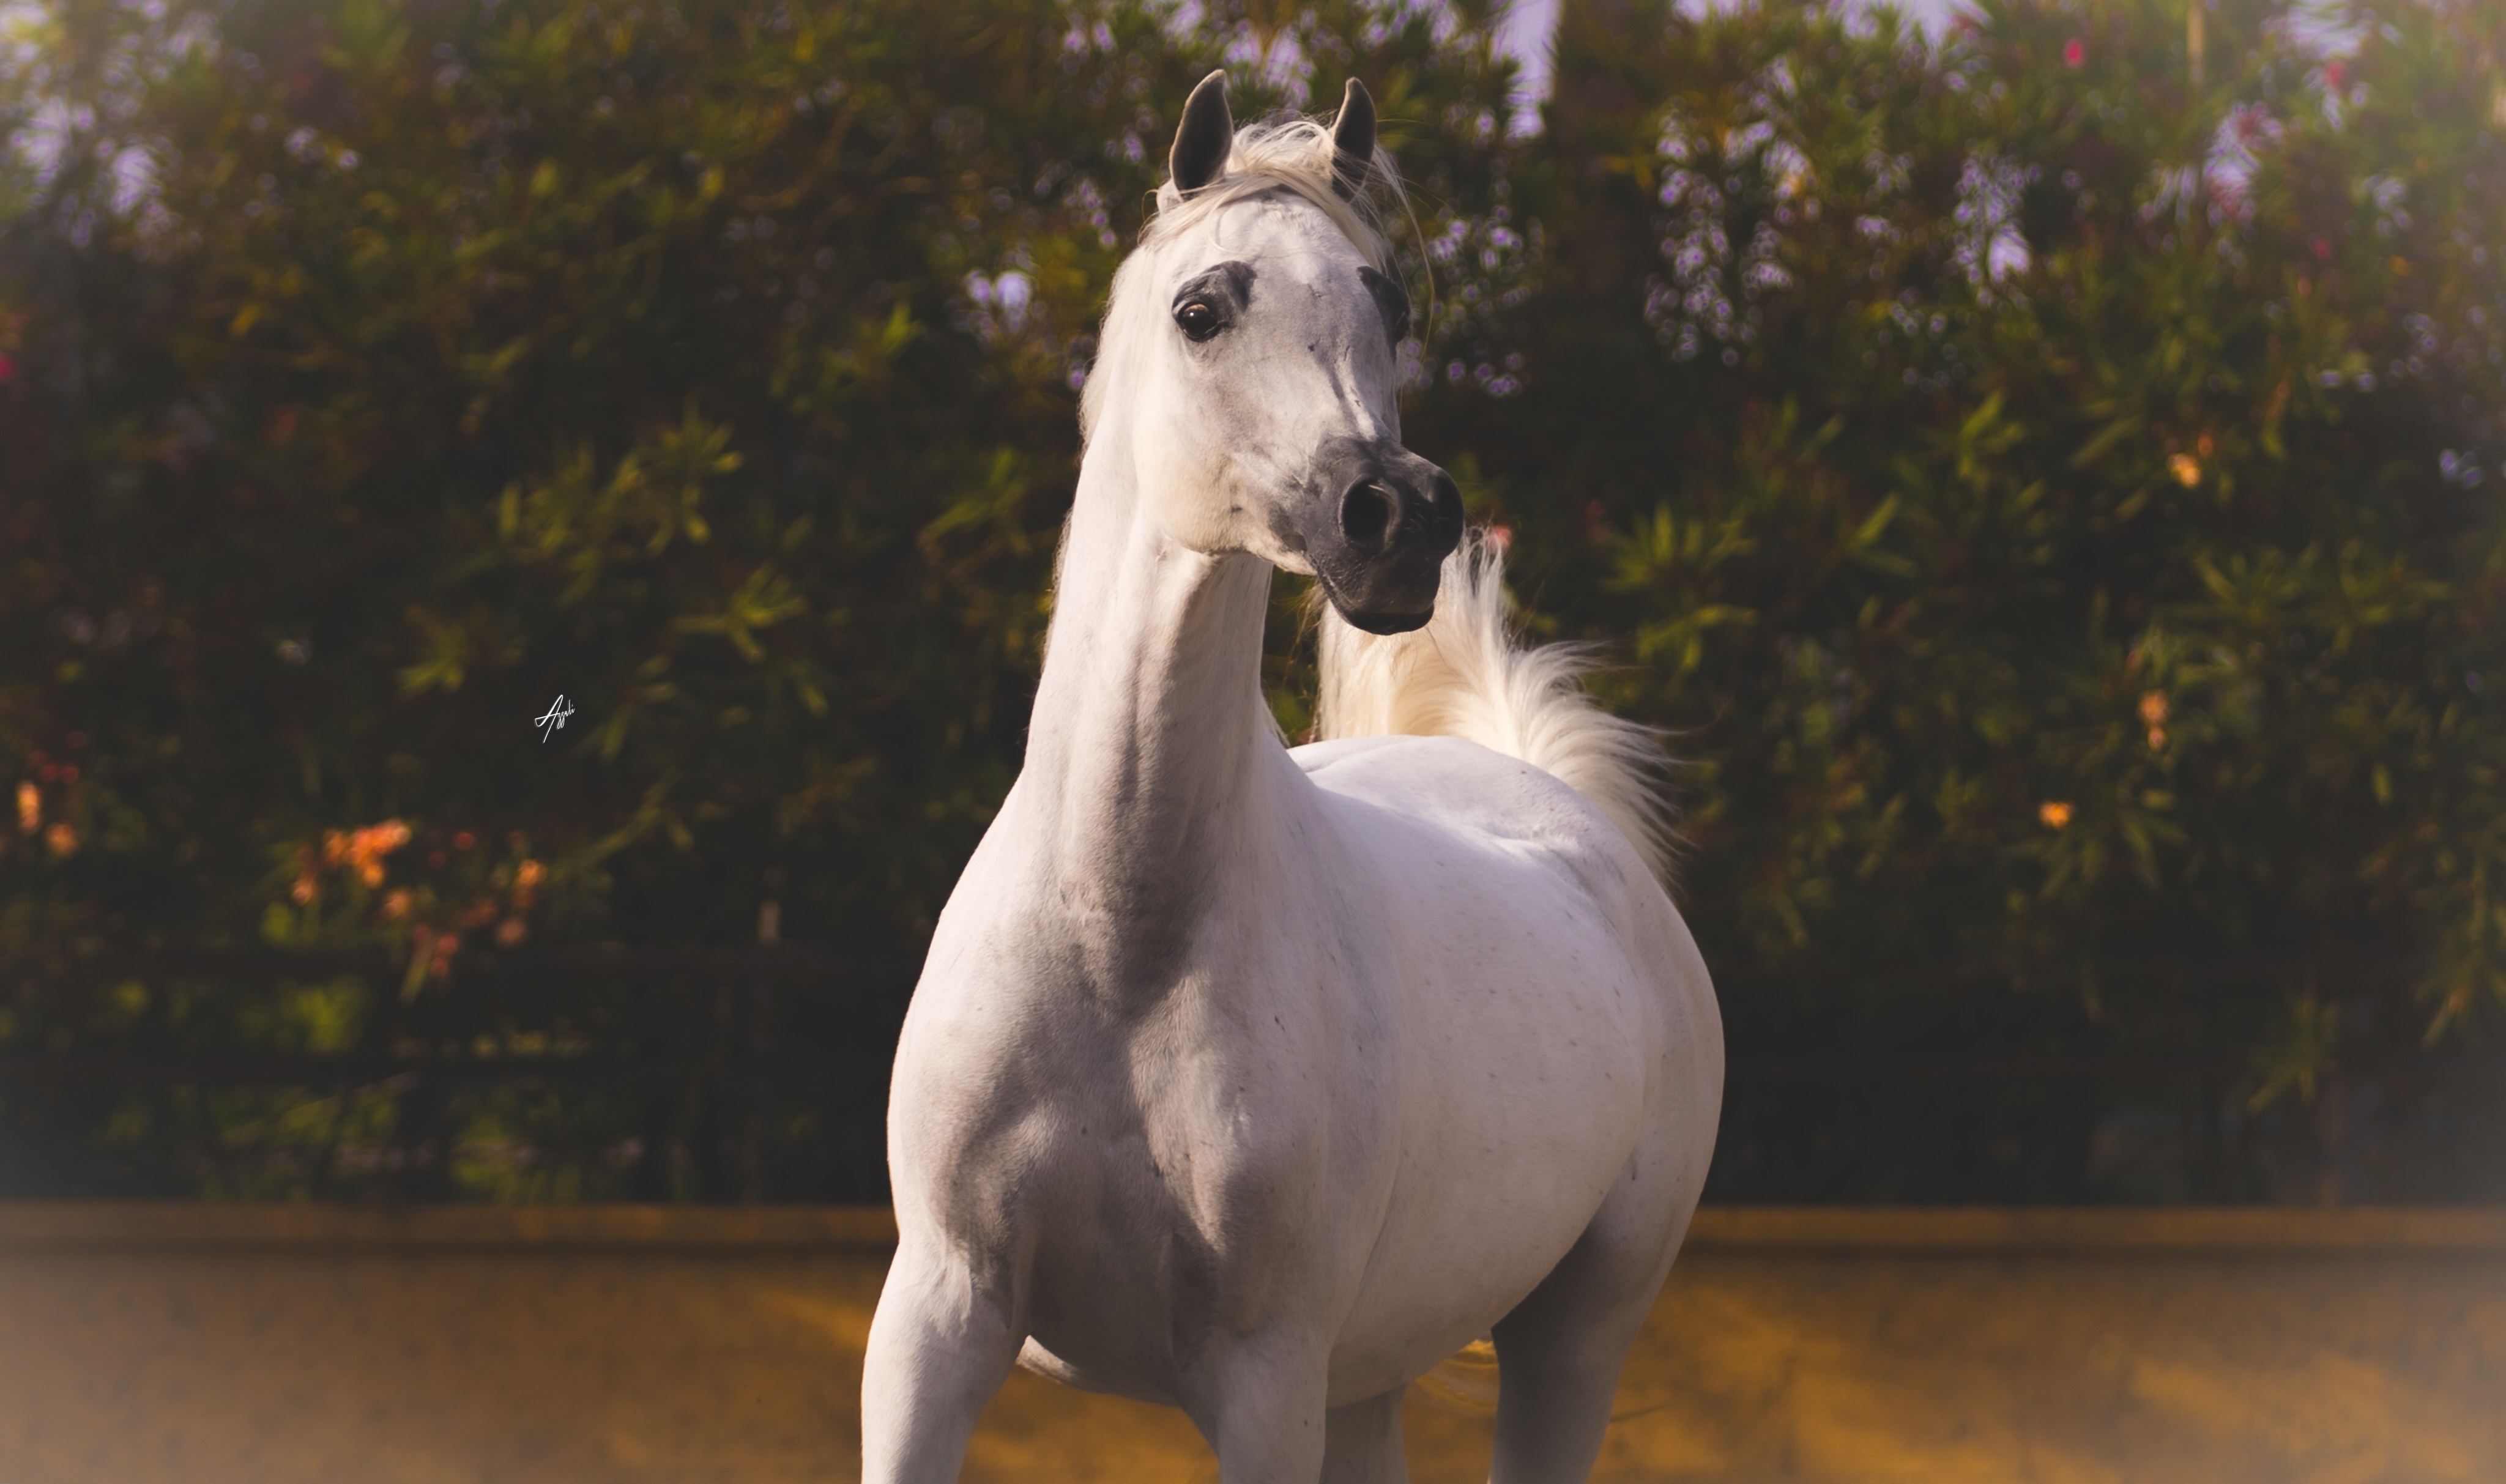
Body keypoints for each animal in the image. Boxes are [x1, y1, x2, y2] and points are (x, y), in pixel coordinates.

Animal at [863, 71, 1723, 1484]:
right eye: (1202, 309)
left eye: (1388, 304)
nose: (1399, 520)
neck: (1117, 937)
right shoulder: (937, 1321)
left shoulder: (1265, 1375)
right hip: (1368, 1375)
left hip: (1573, 1335)